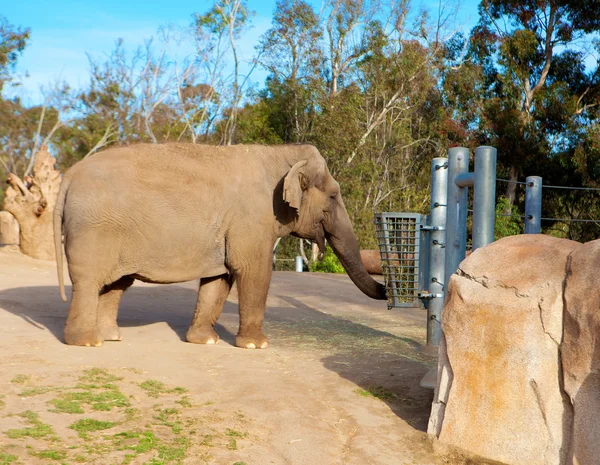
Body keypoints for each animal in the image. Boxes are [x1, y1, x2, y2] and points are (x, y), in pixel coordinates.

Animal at [54, 143, 386, 346]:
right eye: (333, 196)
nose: (388, 287)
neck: (279, 155)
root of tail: (69, 175)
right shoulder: (252, 219)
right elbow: (254, 270)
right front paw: (256, 345)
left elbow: (220, 278)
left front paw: (206, 341)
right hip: (94, 229)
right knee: (89, 281)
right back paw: (88, 342)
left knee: (116, 283)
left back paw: (110, 336)